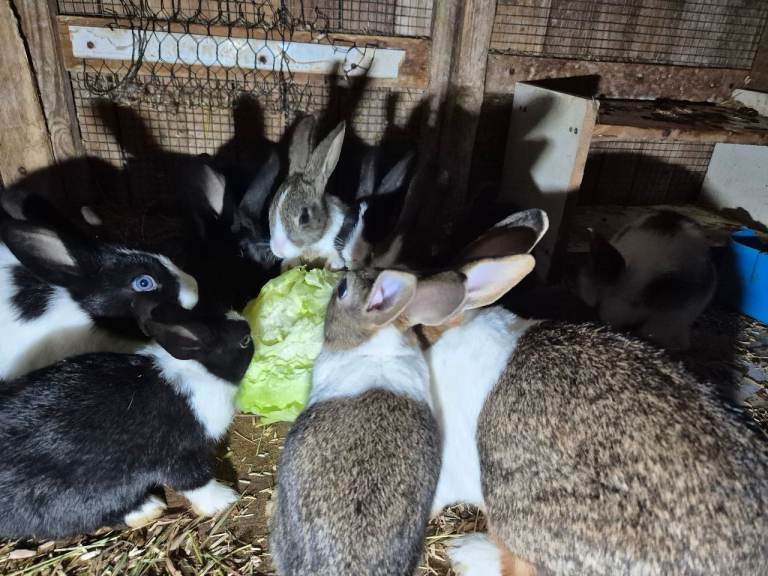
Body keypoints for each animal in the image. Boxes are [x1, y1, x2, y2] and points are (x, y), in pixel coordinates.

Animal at [0, 298, 254, 539]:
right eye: (244, 341)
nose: (251, 328)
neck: (199, 371)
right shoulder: (178, 455)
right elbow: (195, 481)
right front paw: (225, 499)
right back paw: (149, 508)